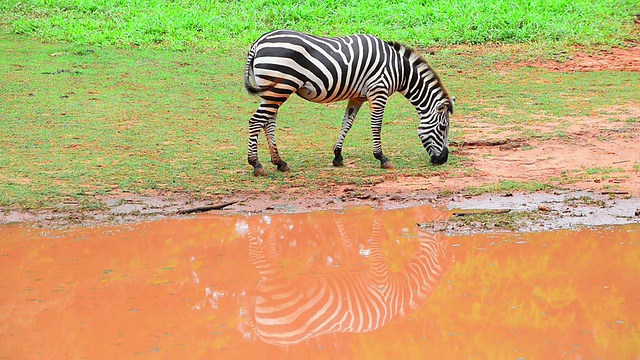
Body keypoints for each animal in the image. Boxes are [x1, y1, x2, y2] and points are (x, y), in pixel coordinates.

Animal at [242, 30, 452, 176]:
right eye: (443, 128)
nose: (443, 159)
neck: (399, 70)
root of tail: (257, 43)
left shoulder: (357, 96)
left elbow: (347, 123)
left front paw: (337, 156)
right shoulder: (378, 91)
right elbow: (376, 125)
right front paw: (382, 158)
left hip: (273, 92)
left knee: (268, 123)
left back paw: (280, 162)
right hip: (279, 88)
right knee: (256, 121)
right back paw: (256, 164)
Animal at [244, 212, 450, 344]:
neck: (403, 291)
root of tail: (261, 334)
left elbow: (348, 245)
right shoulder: (379, 274)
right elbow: (376, 236)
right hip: (276, 288)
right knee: (255, 255)